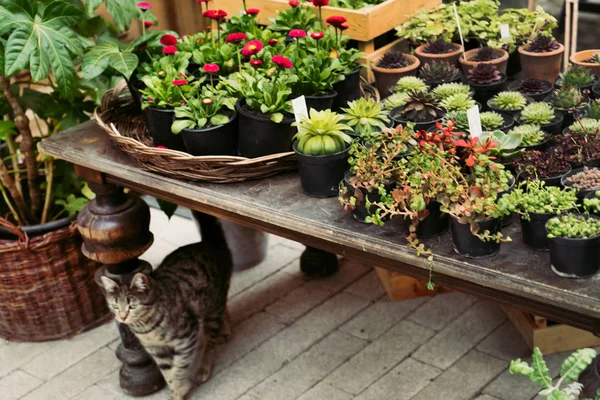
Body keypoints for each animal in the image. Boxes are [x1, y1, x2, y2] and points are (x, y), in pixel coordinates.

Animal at [101, 212, 232, 400]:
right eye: (115, 306)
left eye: (132, 306)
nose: (122, 317)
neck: (147, 329)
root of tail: (209, 242)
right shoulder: (157, 351)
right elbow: (167, 373)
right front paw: (175, 391)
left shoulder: (187, 339)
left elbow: (178, 369)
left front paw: (180, 389)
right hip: (214, 302)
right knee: (224, 308)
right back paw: (227, 330)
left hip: (212, 309)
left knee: (210, 341)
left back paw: (204, 367)